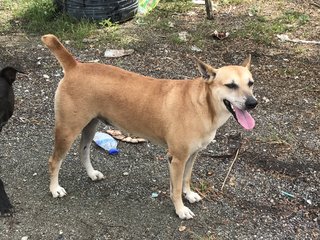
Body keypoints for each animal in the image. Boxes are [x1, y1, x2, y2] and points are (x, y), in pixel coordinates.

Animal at [42, 33, 258, 219]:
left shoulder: (192, 155)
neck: (203, 105)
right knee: (54, 161)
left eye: (251, 83)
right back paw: (55, 189)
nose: (253, 103)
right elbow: (176, 188)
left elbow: (186, 179)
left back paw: (91, 173)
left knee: (83, 150)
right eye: (231, 85)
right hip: (67, 130)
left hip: (90, 126)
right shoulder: (177, 159)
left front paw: (189, 195)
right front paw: (180, 209)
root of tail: (75, 66)